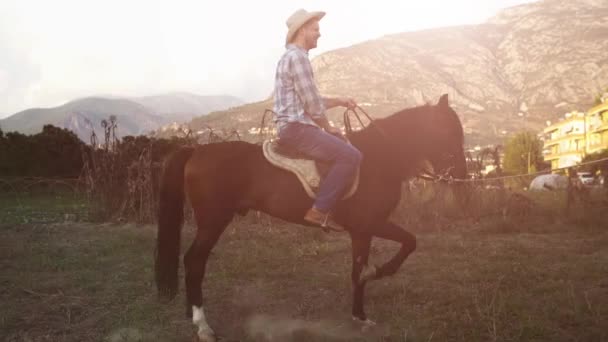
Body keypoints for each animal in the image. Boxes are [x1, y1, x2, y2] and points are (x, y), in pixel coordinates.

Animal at [156, 94, 466, 342]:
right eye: (447, 131)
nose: (461, 177)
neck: (379, 158)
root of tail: (196, 150)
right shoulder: (368, 225)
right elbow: (405, 245)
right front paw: (374, 280)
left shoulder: (362, 231)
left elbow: (362, 267)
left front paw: (359, 315)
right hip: (213, 221)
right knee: (194, 262)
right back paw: (203, 325)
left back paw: (191, 313)